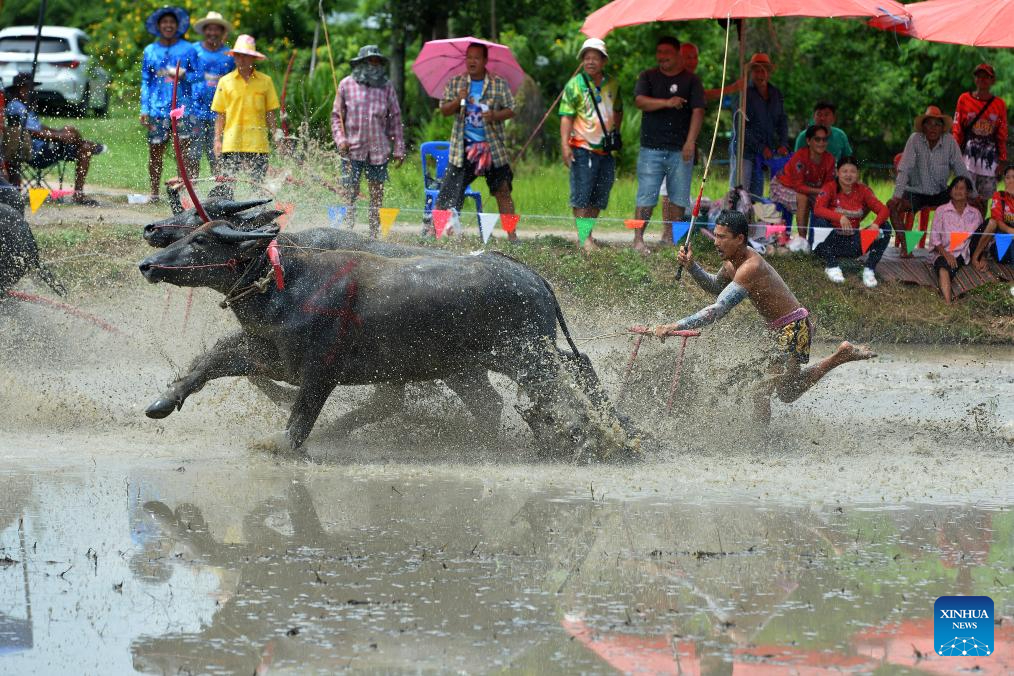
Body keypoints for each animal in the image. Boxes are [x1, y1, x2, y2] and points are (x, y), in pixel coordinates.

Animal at [140, 224, 632, 462]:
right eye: (188, 234)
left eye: (202, 240)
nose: (148, 263)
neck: (286, 283)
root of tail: (532, 277)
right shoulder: (267, 354)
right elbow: (207, 361)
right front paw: (162, 402)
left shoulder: (319, 371)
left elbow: (301, 417)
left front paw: (279, 445)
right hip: (498, 362)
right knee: (563, 377)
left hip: (525, 356)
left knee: (565, 389)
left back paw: (598, 441)